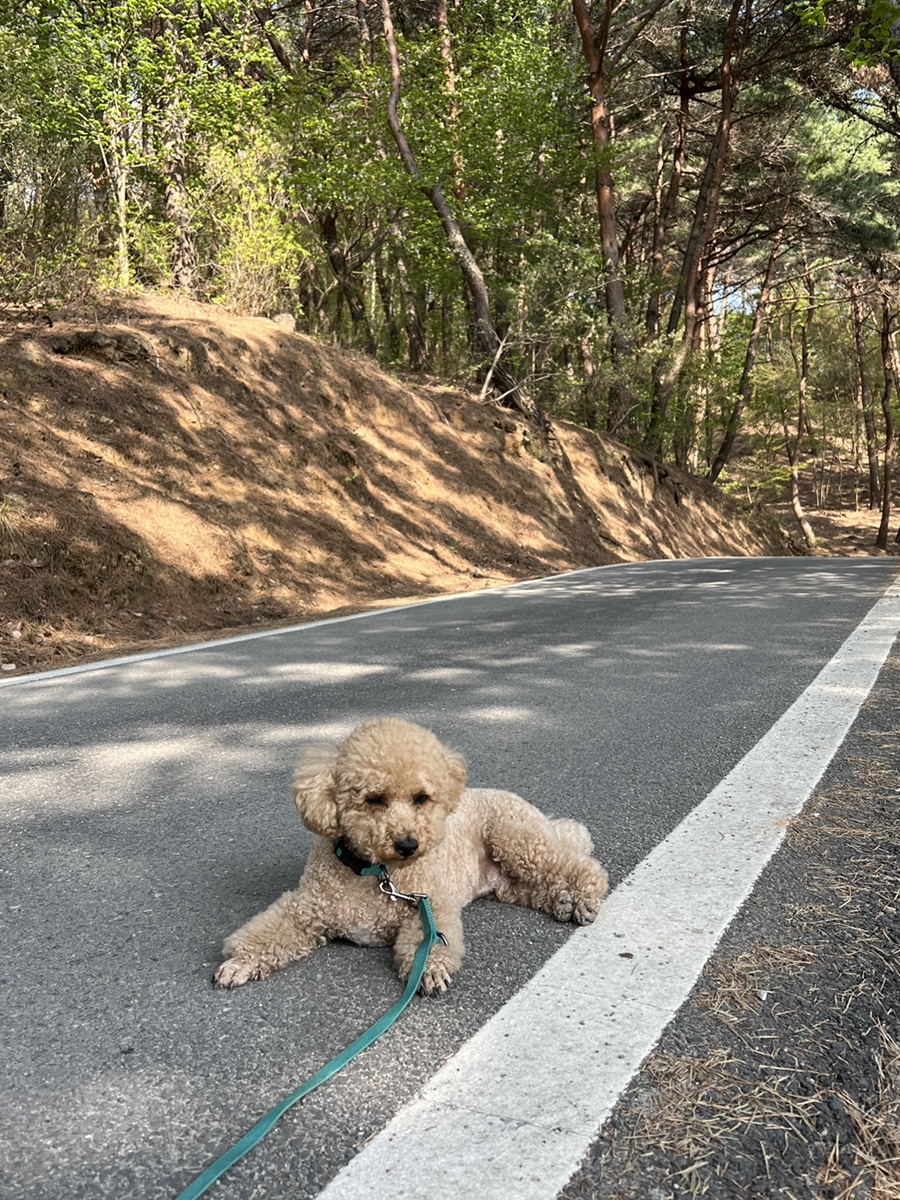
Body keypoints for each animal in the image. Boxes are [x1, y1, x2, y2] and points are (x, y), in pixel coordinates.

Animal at [217, 720, 614, 993]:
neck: (375, 874)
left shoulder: (429, 903)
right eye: (374, 799)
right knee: (535, 886)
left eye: (421, 798)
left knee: (578, 864)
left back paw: (584, 896)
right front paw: (240, 962)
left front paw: (430, 969)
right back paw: (563, 901)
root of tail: (539, 814)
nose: (408, 845)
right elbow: (270, 930)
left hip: (513, 836)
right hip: (506, 882)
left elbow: (430, 940)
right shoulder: (306, 907)